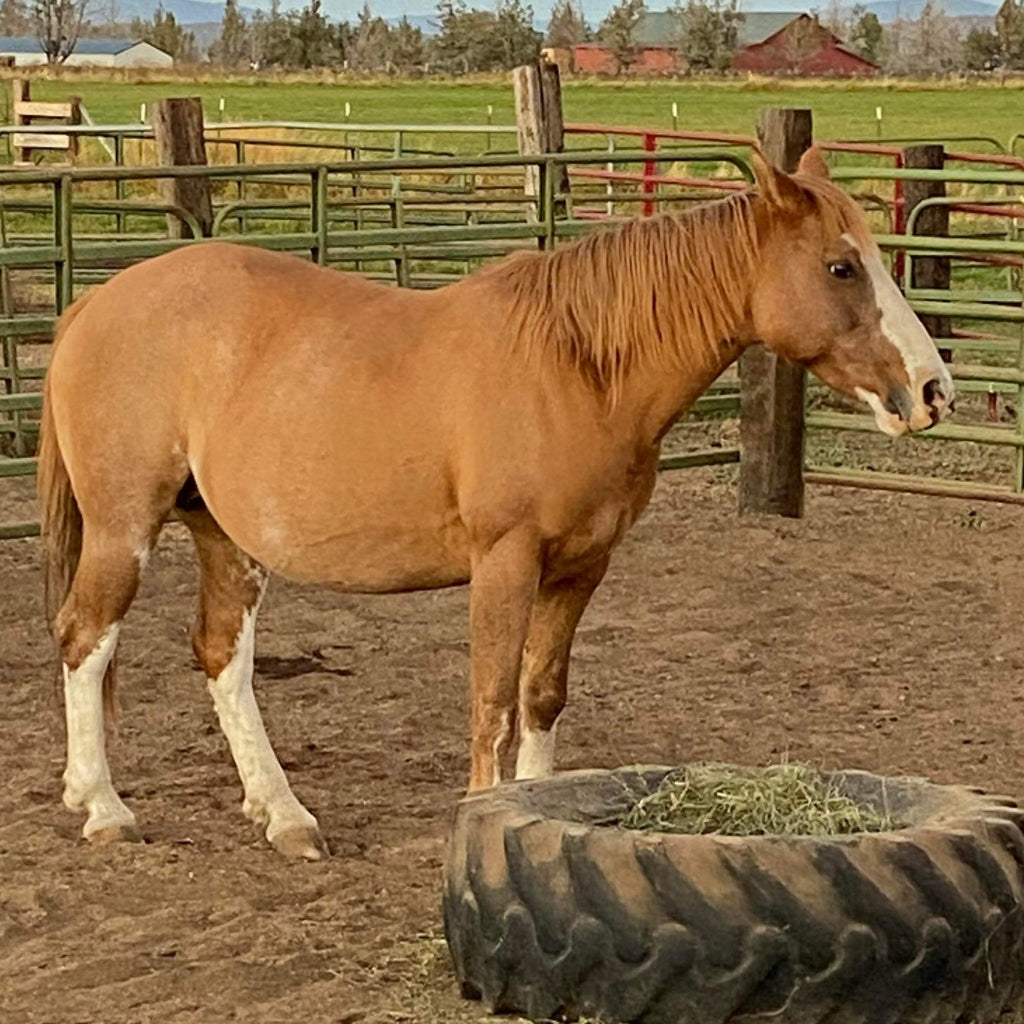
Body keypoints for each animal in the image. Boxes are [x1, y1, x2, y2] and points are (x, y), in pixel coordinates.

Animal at [37, 148, 950, 860]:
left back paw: (284, 815)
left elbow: (541, 697)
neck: (579, 367)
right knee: (86, 639)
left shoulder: (580, 568)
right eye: (841, 266)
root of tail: (93, 304)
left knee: (222, 655)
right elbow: (493, 704)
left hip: (224, 536)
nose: (934, 390)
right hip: (125, 527)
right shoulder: (504, 562)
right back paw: (104, 807)